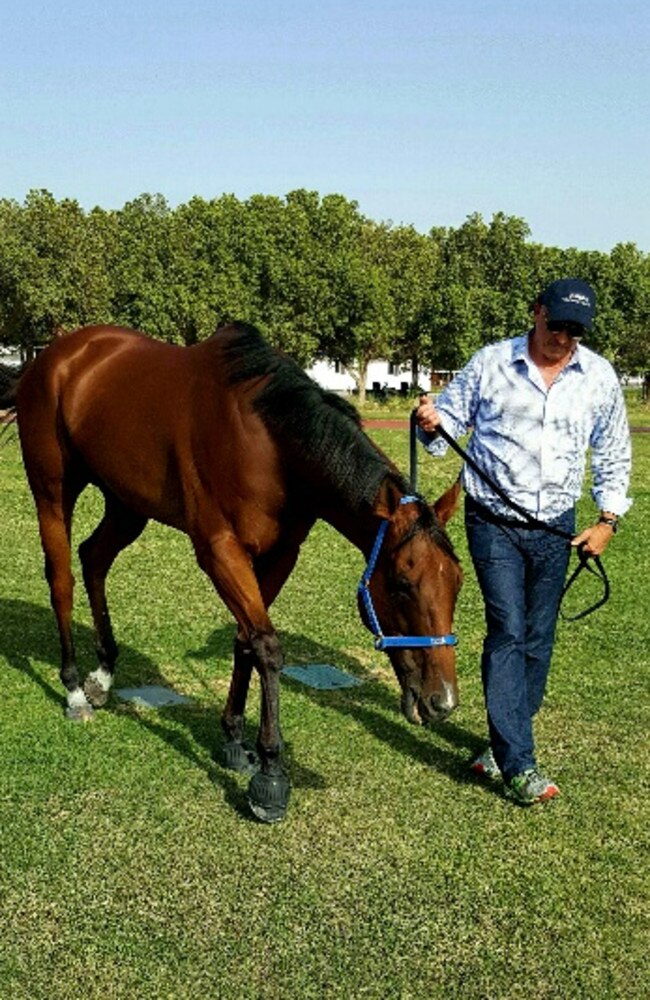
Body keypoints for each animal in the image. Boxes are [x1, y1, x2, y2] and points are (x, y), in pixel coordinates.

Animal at [16, 324, 460, 824]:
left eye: (458, 583)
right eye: (402, 585)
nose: (442, 701)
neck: (269, 444)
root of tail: (58, 353)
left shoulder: (280, 555)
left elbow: (245, 639)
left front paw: (232, 737)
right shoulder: (220, 551)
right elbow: (266, 645)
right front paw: (270, 773)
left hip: (127, 504)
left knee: (93, 558)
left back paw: (104, 674)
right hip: (53, 492)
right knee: (62, 581)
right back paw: (74, 689)